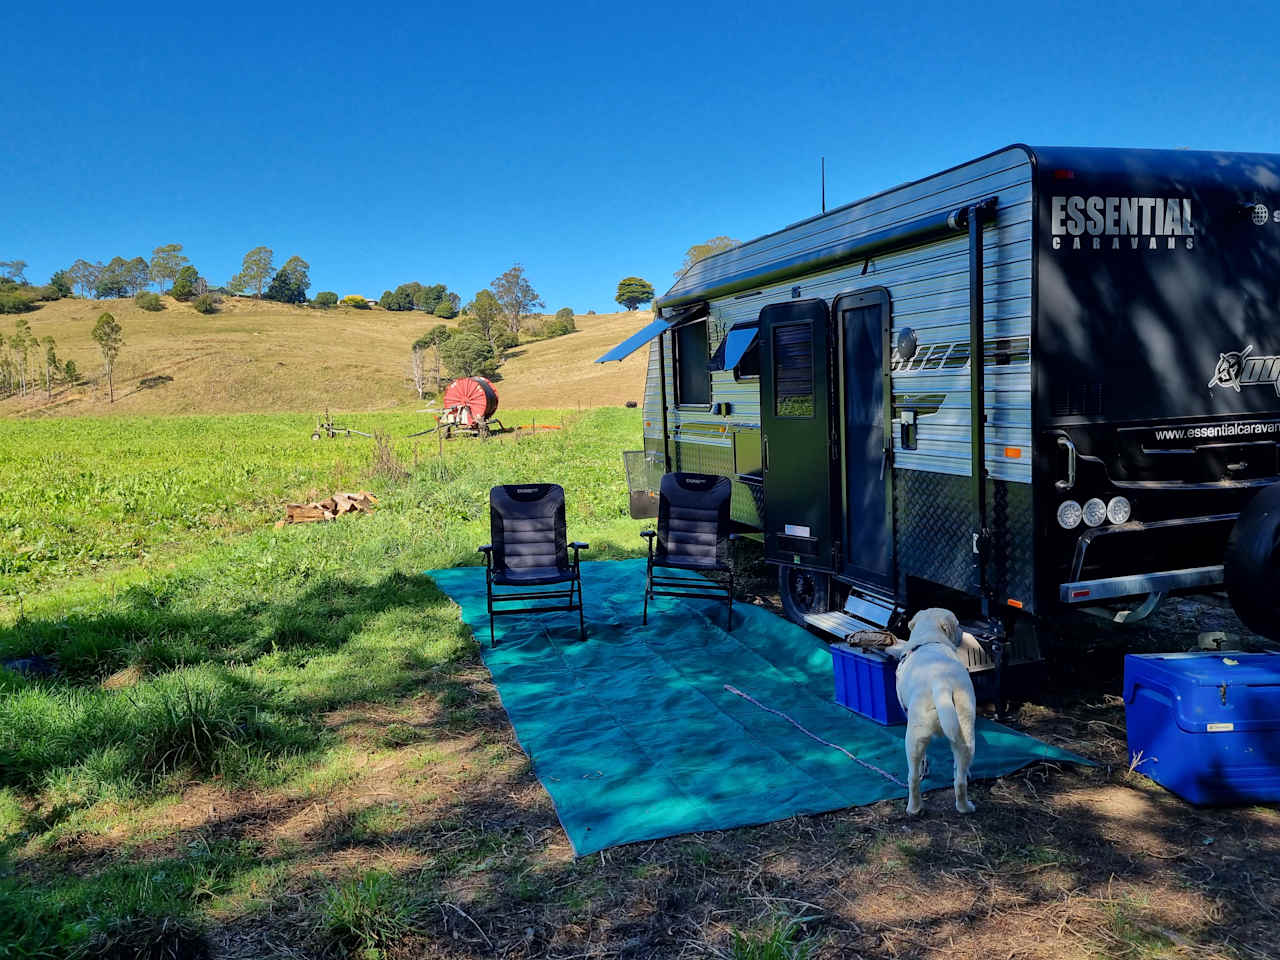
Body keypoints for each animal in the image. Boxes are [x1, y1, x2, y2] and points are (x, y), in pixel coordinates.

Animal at [890, 611, 977, 814]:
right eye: (958, 624)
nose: (963, 630)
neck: (930, 638)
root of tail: (942, 682)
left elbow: (924, 760)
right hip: (966, 733)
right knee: (960, 780)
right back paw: (965, 807)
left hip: (914, 738)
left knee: (913, 777)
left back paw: (913, 809)